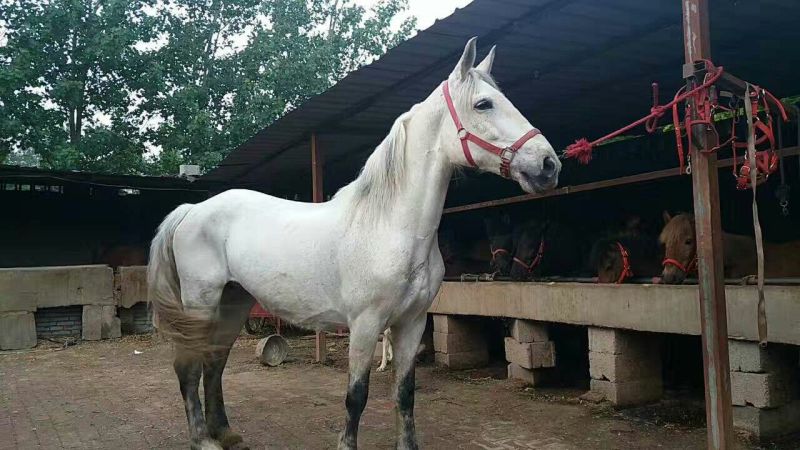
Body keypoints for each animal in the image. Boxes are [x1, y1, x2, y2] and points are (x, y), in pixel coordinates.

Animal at [147, 38, 560, 450]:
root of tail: (192, 210)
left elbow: (405, 393)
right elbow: (356, 396)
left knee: (215, 362)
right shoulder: (364, 325)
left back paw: (226, 433)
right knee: (189, 367)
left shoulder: (412, 324)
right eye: (483, 104)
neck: (390, 227)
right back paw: (203, 439)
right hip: (201, 304)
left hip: (234, 301)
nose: (548, 164)